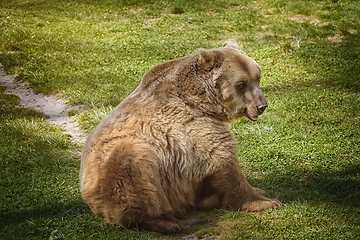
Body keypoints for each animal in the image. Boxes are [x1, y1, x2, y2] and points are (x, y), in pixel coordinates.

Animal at [80, 40, 282, 233]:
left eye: (257, 78)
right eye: (241, 84)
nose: (261, 106)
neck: (203, 102)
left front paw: (258, 189)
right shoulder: (193, 126)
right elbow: (223, 159)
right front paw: (266, 202)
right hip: (119, 169)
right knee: (133, 168)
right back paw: (165, 222)